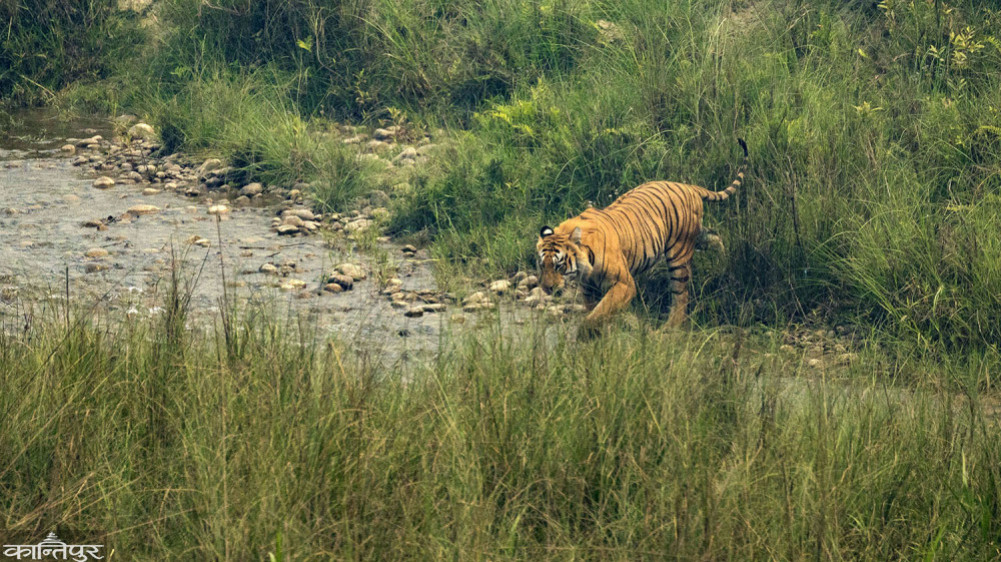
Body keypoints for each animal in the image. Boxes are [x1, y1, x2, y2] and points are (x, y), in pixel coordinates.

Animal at [537, 138, 747, 334]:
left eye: (559, 265)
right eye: (542, 265)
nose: (547, 289)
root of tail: (689, 186)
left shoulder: (624, 283)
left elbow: (600, 312)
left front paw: (586, 334)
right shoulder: (588, 288)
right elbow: (595, 311)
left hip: (679, 253)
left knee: (680, 295)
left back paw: (670, 327)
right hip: (695, 236)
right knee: (715, 237)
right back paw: (722, 260)